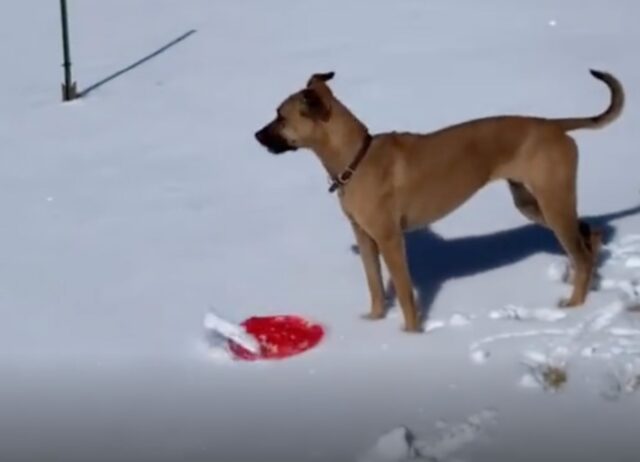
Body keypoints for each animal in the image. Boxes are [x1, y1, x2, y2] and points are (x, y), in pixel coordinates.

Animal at [254, 69, 624, 332]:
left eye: (281, 116)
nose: (256, 136)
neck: (356, 158)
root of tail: (553, 126)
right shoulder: (364, 235)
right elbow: (375, 285)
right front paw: (373, 322)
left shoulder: (390, 239)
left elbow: (405, 295)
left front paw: (410, 335)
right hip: (531, 202)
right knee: (589, 236)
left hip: (552, 202)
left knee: (581, 252)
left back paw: (575, 306)